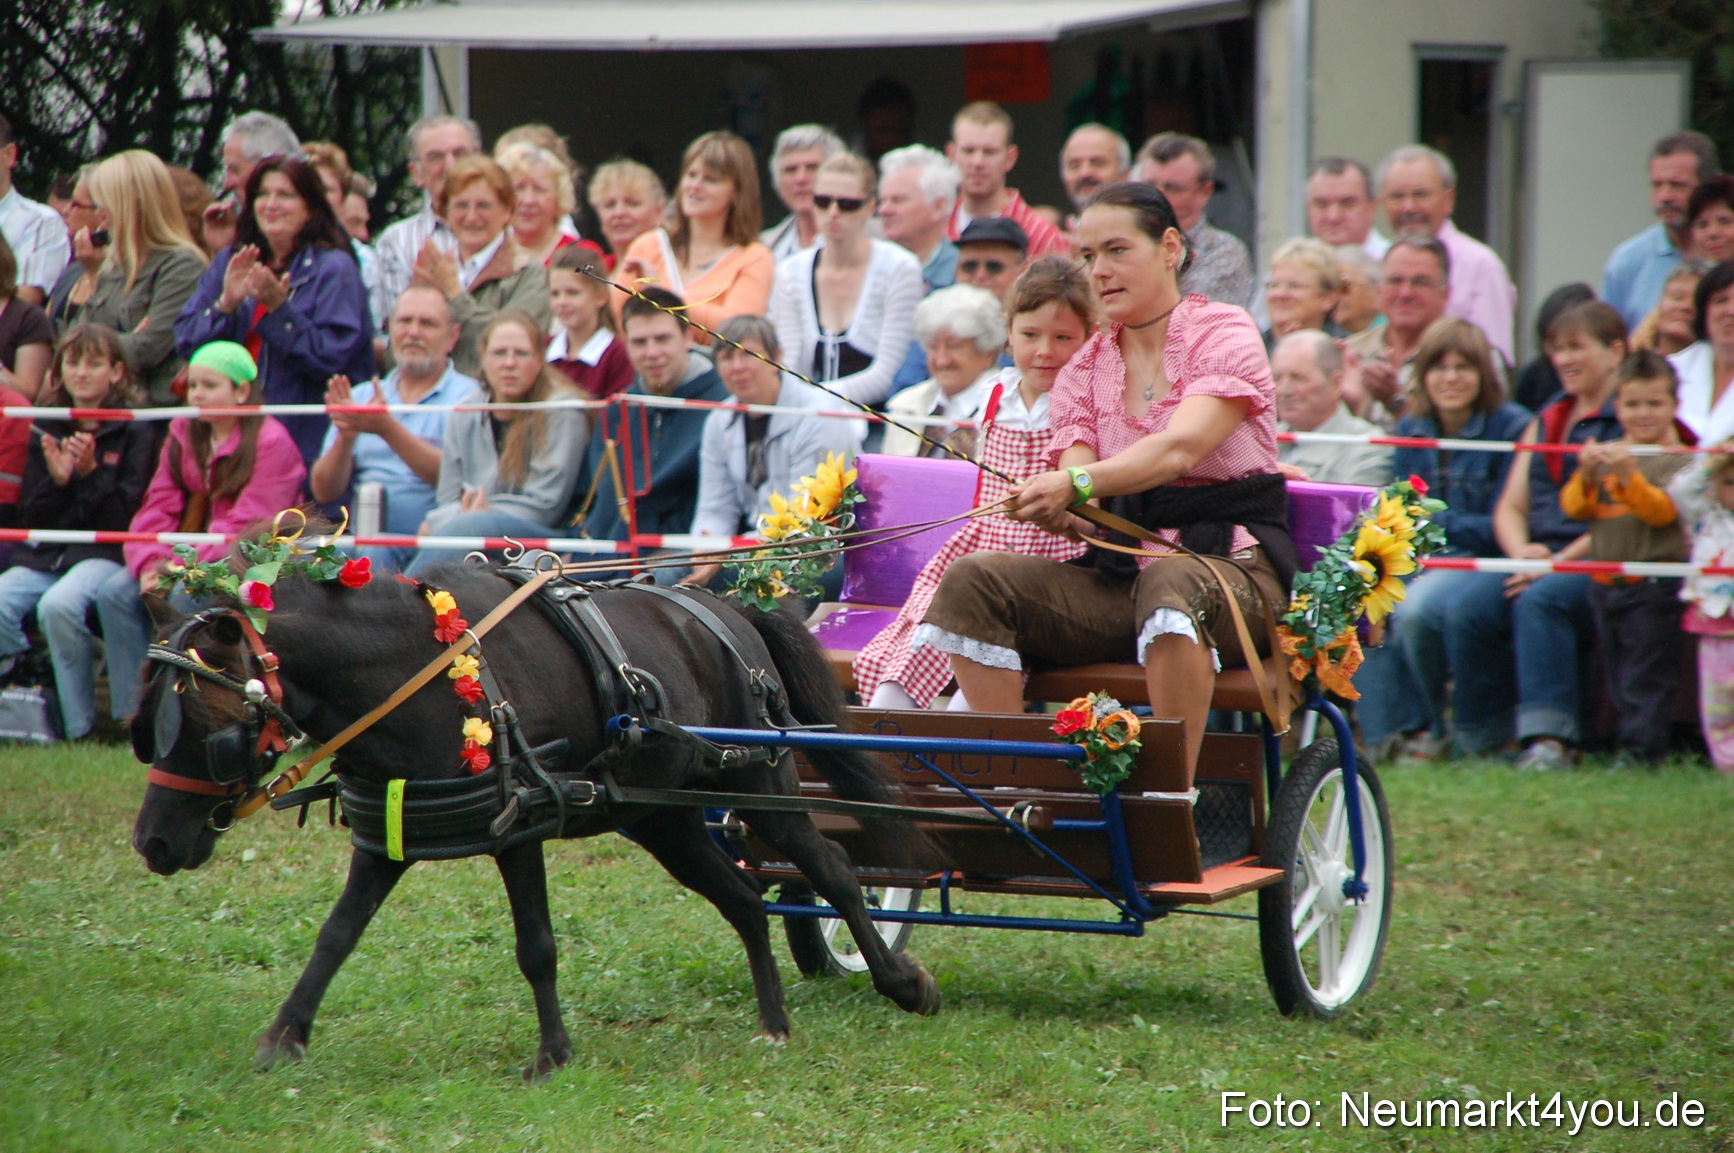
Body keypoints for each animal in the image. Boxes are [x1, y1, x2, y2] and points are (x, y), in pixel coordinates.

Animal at [130, 559, 940, 1078]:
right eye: (145, 722)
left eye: (209, 725)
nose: (153, 842)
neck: (409, 673)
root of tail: (724, 610)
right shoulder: (387, 835)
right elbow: (336, 936)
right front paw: (286, 1035)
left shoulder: (517, 827)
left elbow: (537, 946)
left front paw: (552, 1055)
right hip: (664, 817)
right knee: (743, 898)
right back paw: (773, 1021)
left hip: (758, 785)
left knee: (834, 869)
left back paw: (898, 980)